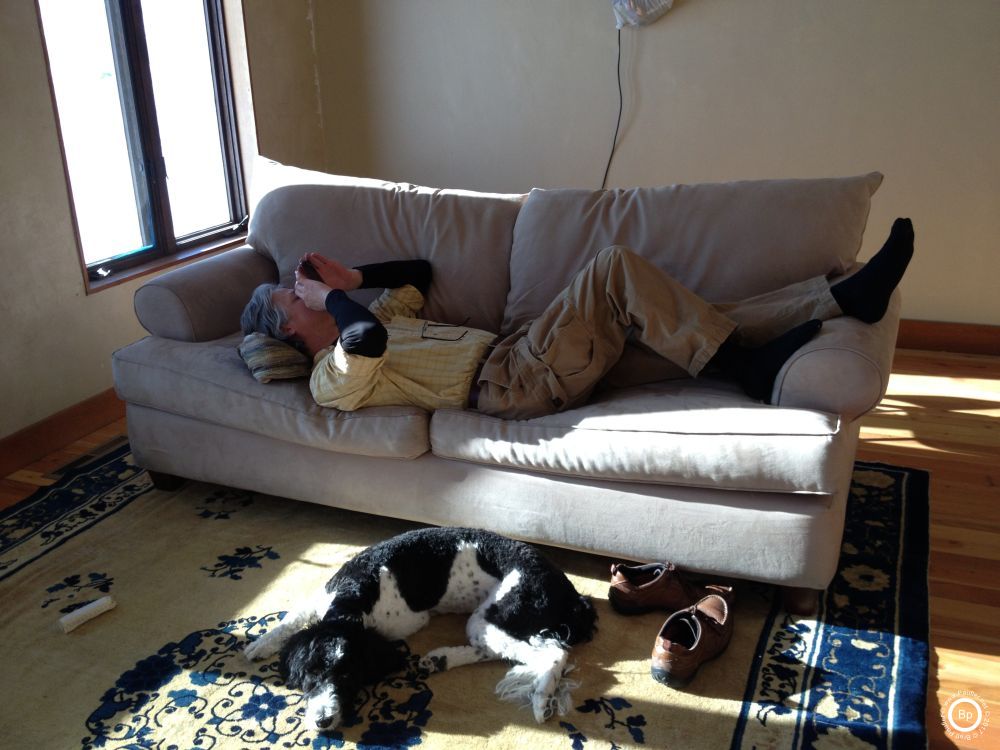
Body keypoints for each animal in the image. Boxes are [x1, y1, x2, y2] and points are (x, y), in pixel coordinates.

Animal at [245, 524, 596, 732]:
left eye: (348, 677)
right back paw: (440, 659)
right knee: (497, 650)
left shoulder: (404, 624)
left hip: (500, 613)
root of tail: (572, 594)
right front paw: (259, 643)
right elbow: (292, 617)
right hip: (483, 622)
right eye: (311, 676)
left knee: (553, 652)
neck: (353, 596)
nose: (324, 720)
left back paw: (541, 698)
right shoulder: (322, 597)